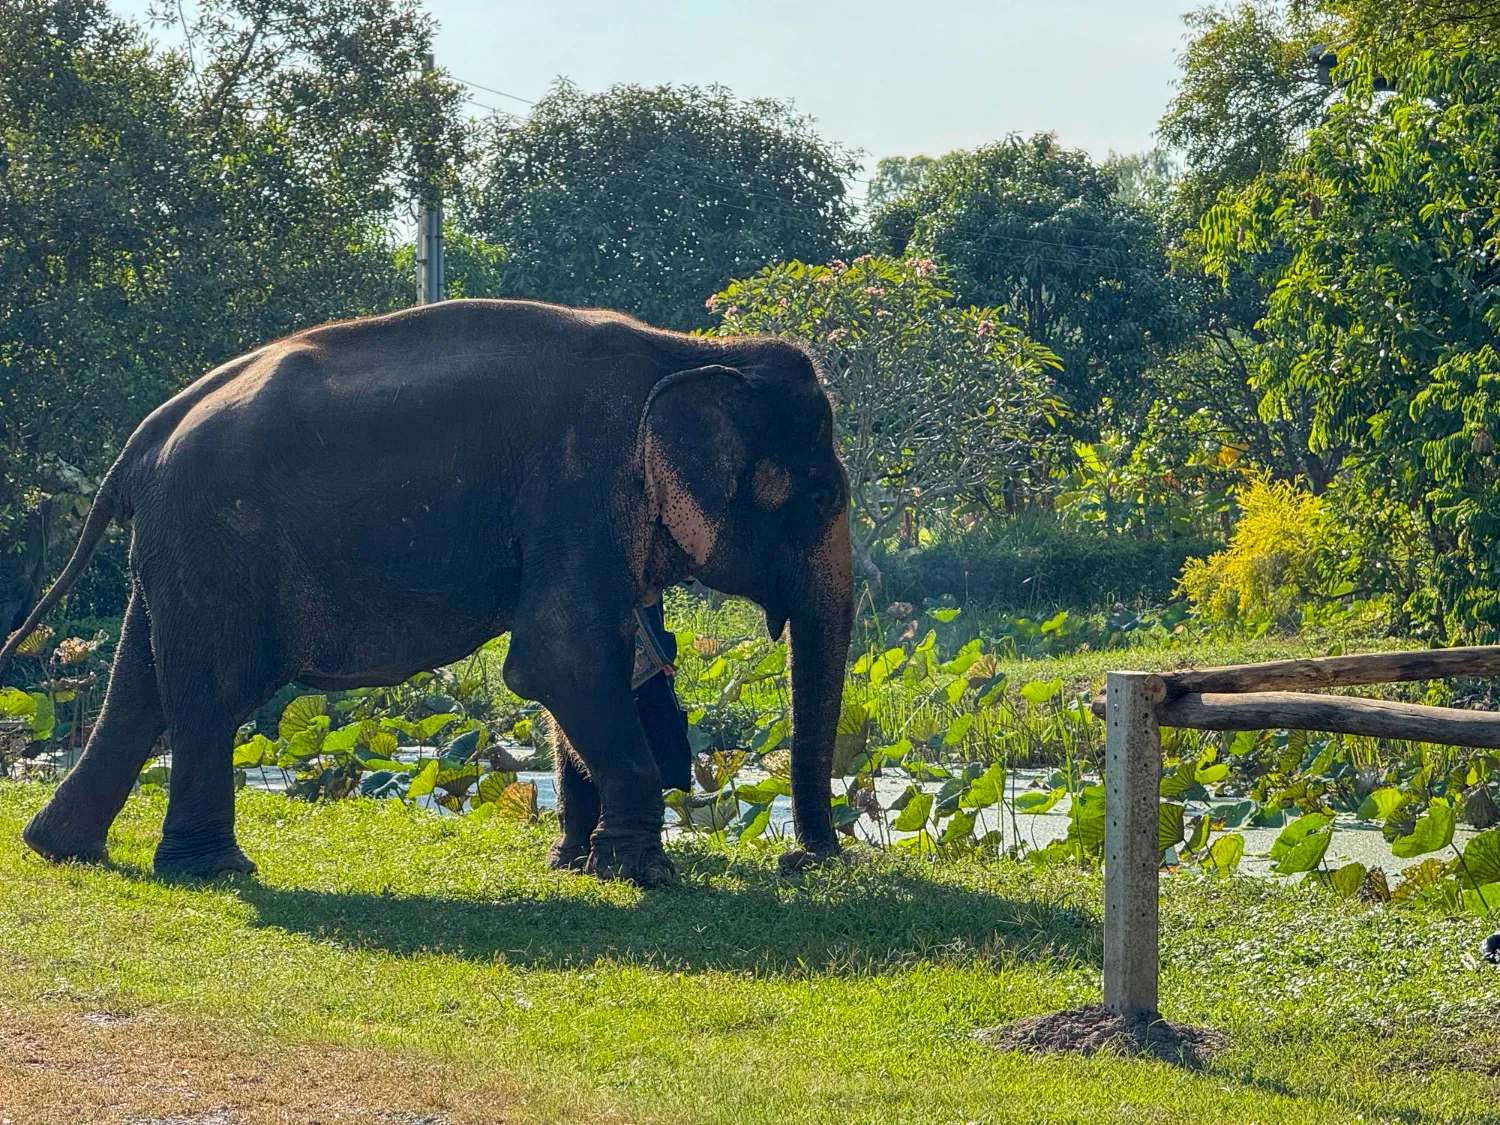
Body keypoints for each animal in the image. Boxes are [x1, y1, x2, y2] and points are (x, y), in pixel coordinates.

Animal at [0, 299, 854, 885]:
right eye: (820, 498)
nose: (808, 860)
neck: (692, 352)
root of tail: (142, 441)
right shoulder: (578, 484)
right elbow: (558, 658)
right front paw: (641, 874)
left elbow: (586, 667)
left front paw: (577, 864)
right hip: (216, 539)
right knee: (210, 696)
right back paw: (216, 871)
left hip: (181, 550)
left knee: (142, 689)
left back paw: (63, 847)